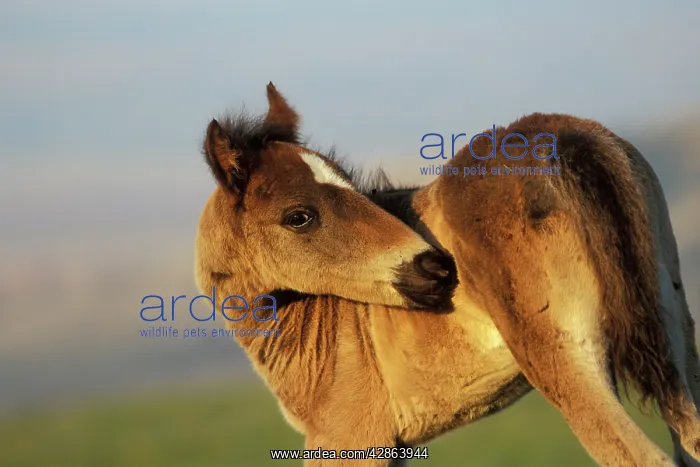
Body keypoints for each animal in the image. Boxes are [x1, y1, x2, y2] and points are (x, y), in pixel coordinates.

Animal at [194, 83, 700, 466]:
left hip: (567, 363)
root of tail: (568, 136)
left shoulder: (349, 439)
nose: (434, 267)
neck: (319, 324)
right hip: (674, 333)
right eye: (298, 216)